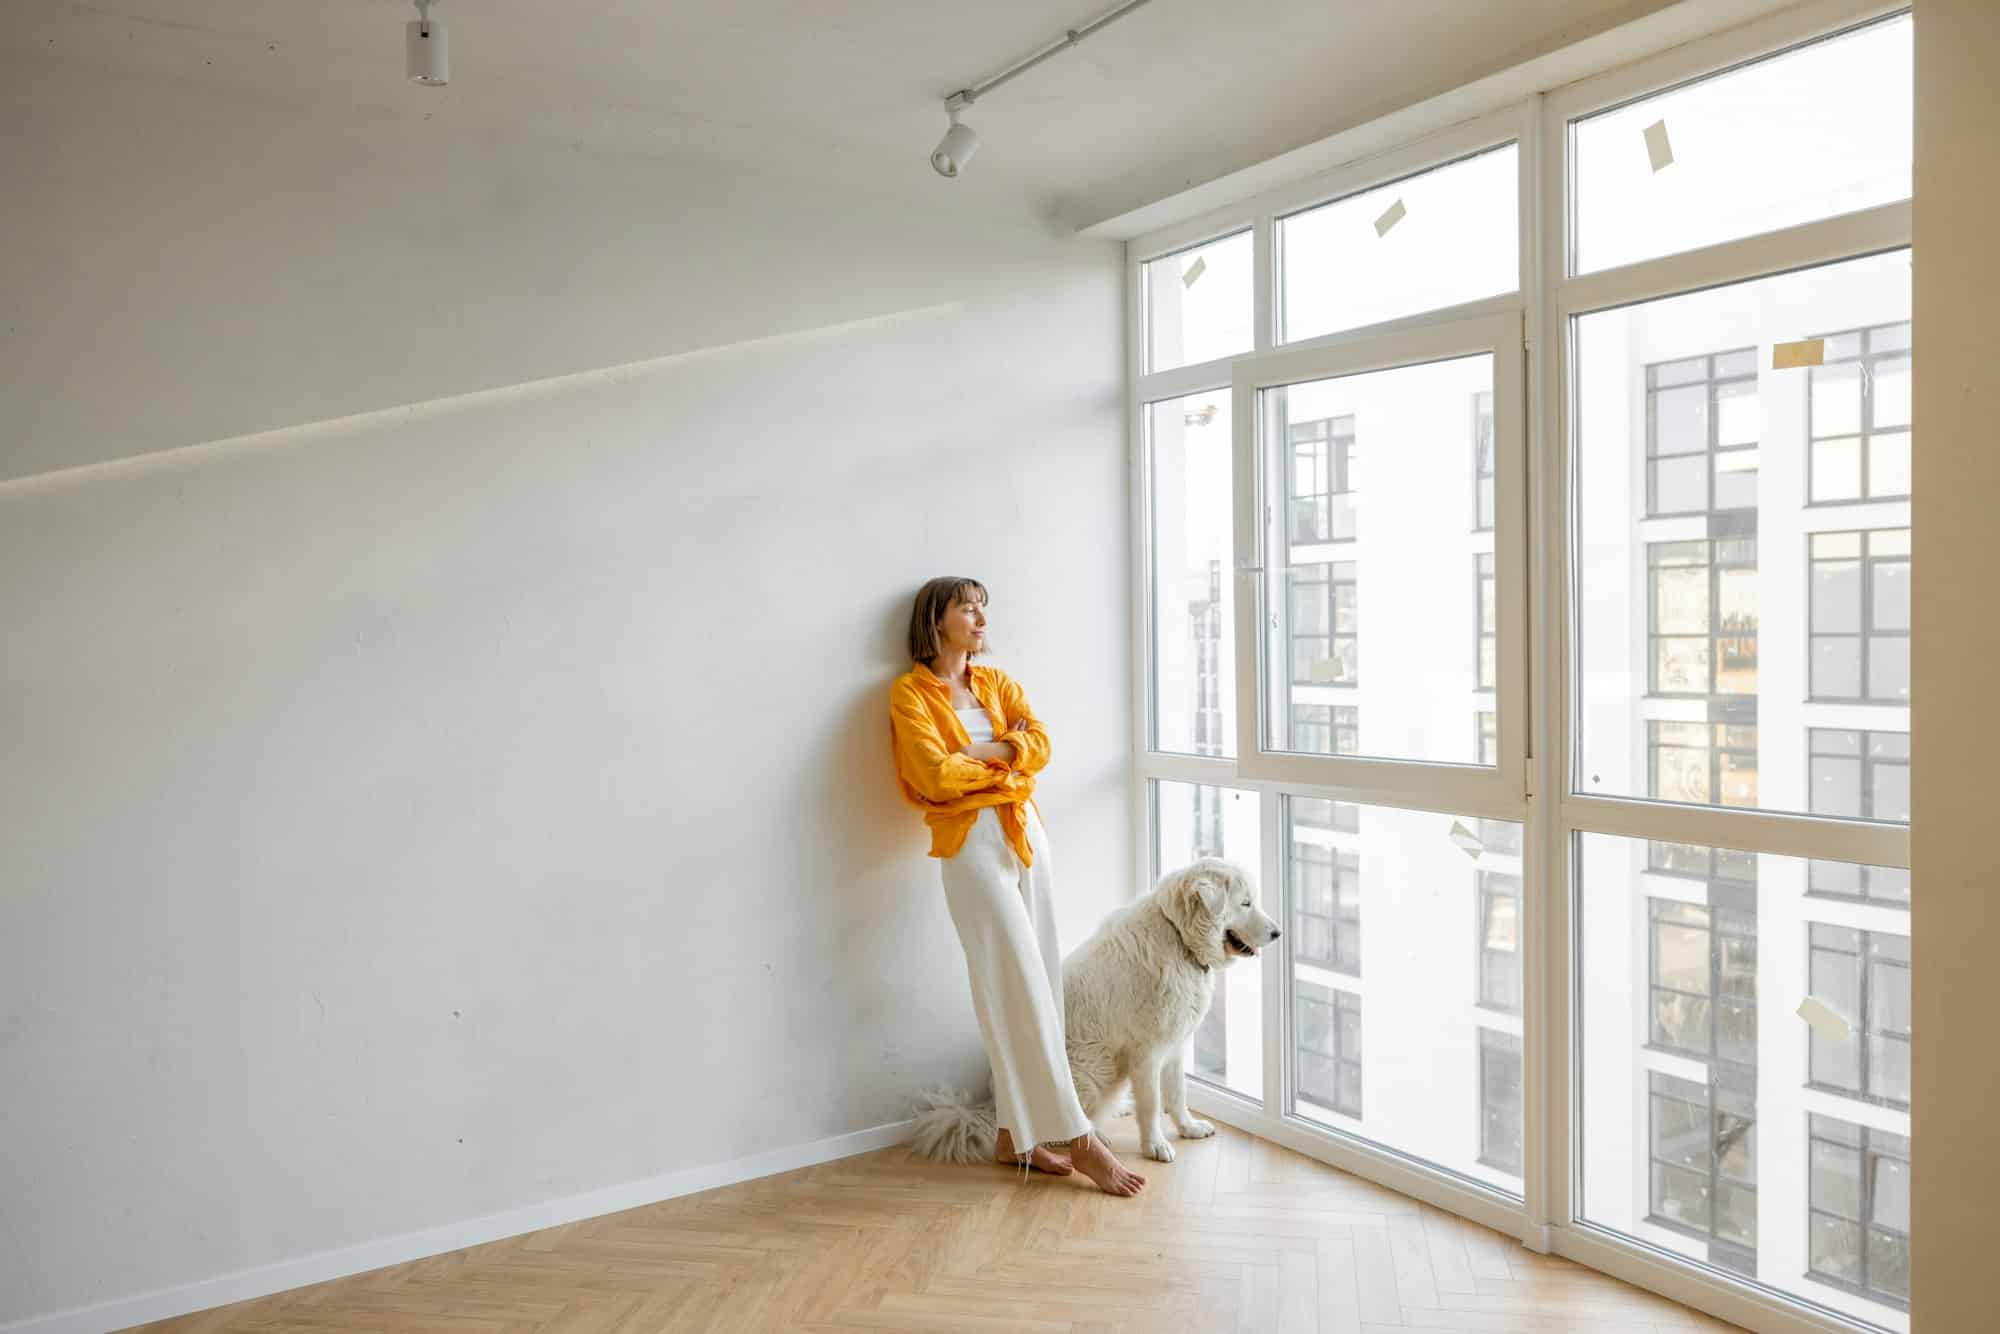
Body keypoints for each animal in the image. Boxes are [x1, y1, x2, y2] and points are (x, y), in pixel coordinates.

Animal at [912, 860, 1280, 1160]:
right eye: (1246, 903)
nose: (1278, 933)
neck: (1178, 937)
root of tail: (995, 1110)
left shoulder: (1175, 1046)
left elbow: (1177, 1094)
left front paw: (1188, 1128)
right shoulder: (1147, 1052)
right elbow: (1152, 1105)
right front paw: (1155, 1146)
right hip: (1091, 1070)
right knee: (1060, 1128)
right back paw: (1094, 1138)